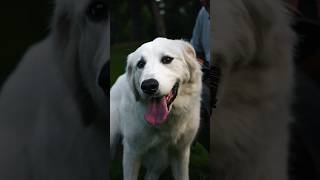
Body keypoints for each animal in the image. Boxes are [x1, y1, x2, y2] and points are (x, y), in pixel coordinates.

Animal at [110, 37, 202, 180]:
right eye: (140, 64)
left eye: (167, 59)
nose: (148, 86)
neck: (165, 124)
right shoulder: (132, 152)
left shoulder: (181, 152)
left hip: (160, 163)